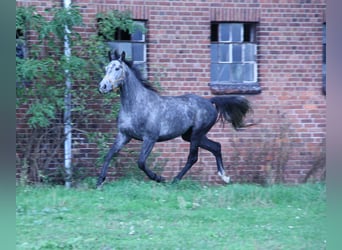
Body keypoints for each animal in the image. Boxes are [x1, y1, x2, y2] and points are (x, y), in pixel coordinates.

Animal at [96, 51, 251, 188]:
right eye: (106, 68)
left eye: (117, 68)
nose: (103, 87)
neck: (136, 105)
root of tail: (210, 101)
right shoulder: (124, 136)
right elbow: (109, 155)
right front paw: (99, 182)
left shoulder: (150, 138)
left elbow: (141, 162)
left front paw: (158, 178)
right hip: (190, 136)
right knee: (216, 146)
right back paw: (225, 177)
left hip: (196, 135)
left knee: (193, 158)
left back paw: (174, 181)